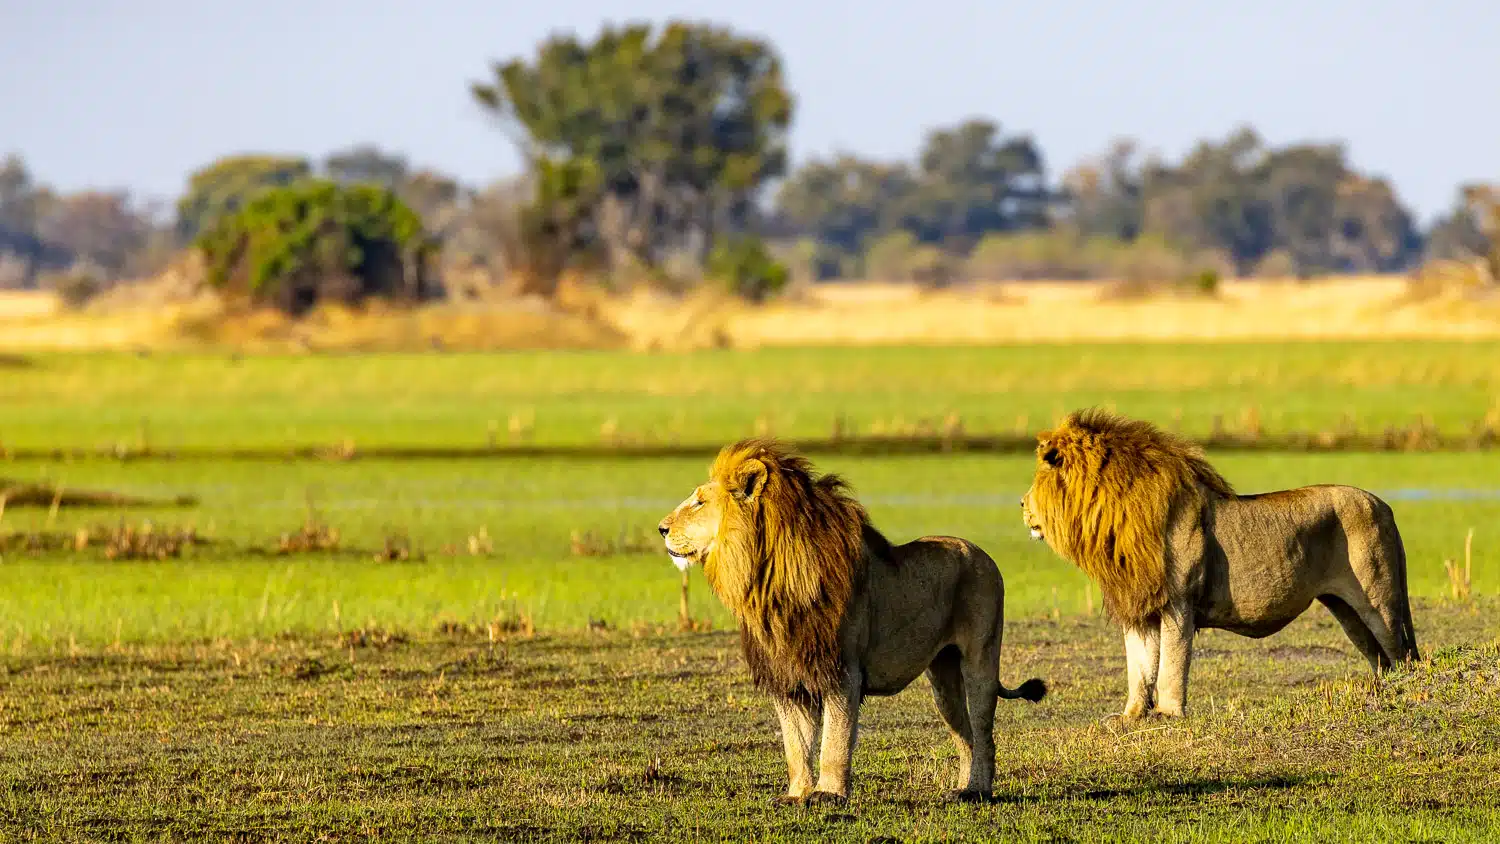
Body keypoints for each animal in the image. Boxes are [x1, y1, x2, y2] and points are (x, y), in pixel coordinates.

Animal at [658, 438, 1046, 804]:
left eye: (699, 502)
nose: (661, 528)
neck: (767, 579)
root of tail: (983, 554)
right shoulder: (787, 677)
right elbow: (795, 745)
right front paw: (796, 795)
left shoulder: (843, 671)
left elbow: (834, 739)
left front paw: (828, 794)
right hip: (943, 677)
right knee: (963, 734)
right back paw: (962, 790)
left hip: (981, 659)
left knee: (983, 733)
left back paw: (979, 790)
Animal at [1020, 408, 1419, 721]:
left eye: (1038, 479)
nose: (1022, 504)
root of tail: (1384, 505)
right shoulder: (1138, 604)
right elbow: (1139, 667)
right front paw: (1130, 716)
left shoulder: (1178, 602)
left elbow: (1171, 663)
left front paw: (1168, 714)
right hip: (1345, 609)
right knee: (1380, 657)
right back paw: (1380, 693)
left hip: (1378, 600)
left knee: (1400, 653)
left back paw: (1403, 692)